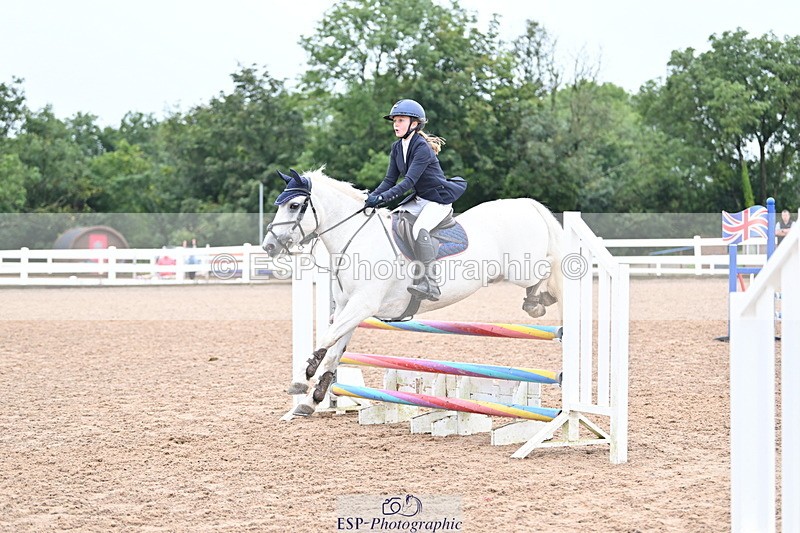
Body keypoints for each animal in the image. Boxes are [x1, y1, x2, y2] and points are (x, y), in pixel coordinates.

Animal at [263, 168, 564, 419]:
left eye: (294, 205)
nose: (269, 246)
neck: (357, 238)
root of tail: (527, 203)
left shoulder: (362, 305)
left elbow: (326, 340)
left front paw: (300, 380)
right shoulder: (349, 307)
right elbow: (334, 351)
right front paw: (310, 401)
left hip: (523, 268)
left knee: (551, 265)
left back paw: (539, 302)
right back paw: (537, 301)